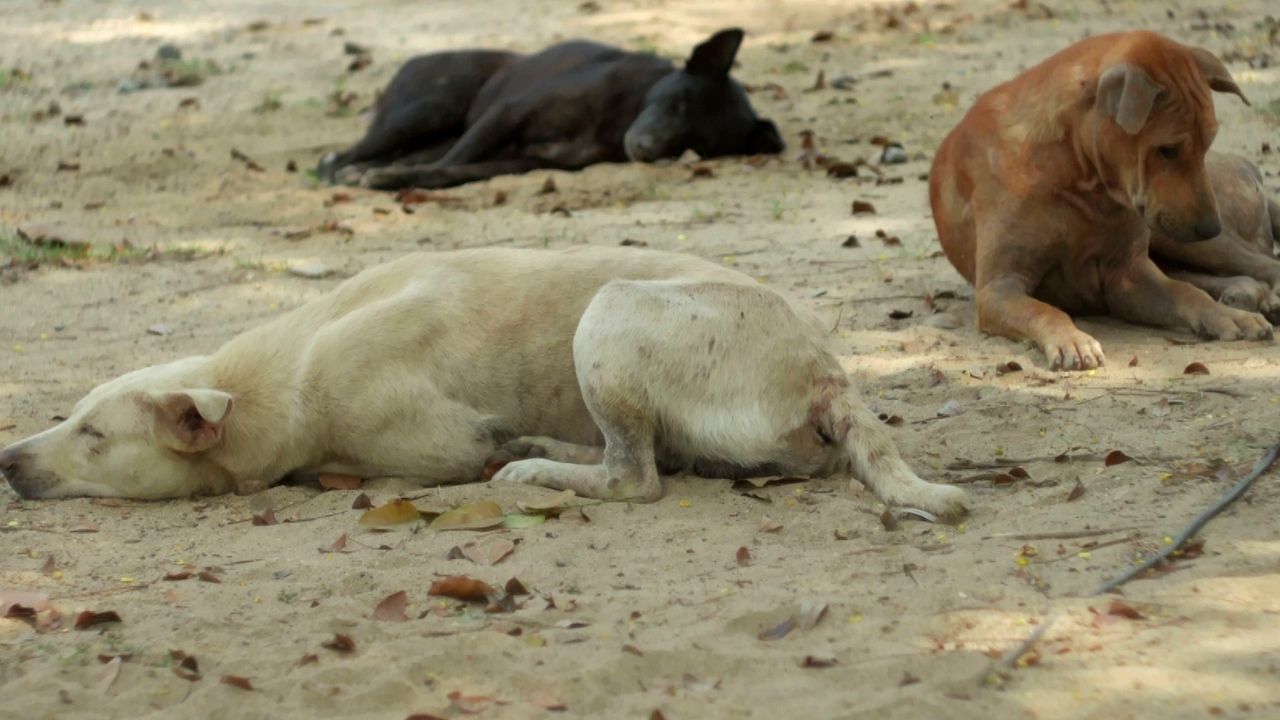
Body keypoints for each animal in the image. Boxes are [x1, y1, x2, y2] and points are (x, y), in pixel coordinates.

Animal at [0, 249, 962, 512]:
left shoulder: (439, 445)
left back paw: (535, 466)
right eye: (70, 416)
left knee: (634, 478)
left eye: (94, 434)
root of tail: (830, 373)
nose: (6, 460)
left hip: (609, 311)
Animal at [317, 29, 778, 189]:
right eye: (680, 101)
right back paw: (348, 169)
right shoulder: (507, 113)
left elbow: (450, 170)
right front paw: (393, 180)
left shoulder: (522, 161)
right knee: (335, 159)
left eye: (699, 147)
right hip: (430, 109)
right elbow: (452, 161)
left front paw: (398, 180)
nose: (645, 149)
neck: (618, 119)